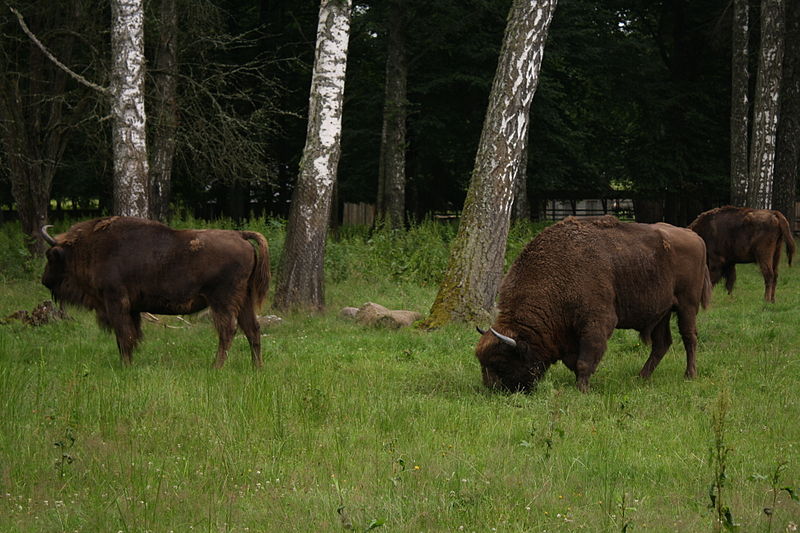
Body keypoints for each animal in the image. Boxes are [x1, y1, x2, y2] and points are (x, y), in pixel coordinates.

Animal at [40, 216, 270, 366]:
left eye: (50, 256)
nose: (44, 280)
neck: (91, 247)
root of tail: (240, 235)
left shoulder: (115, 302)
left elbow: (123, 335)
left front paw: (125, 365)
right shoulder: (132, 309)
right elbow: (131, 335)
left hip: (222, 301)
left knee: (228, 330)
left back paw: (216, 366)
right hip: (244, 300)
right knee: (253, 329)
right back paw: (256, 368)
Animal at [472, 214, 708, 392]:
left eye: (500, 362)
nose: (491, 389)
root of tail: (694, 236)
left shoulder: (597, 322)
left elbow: (585, 359)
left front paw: (582, 389)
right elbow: (575, 361)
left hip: (686, 306)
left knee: (689, 338)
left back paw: (689, 375)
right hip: (661, 313)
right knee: (662, 343)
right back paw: (641, 377)